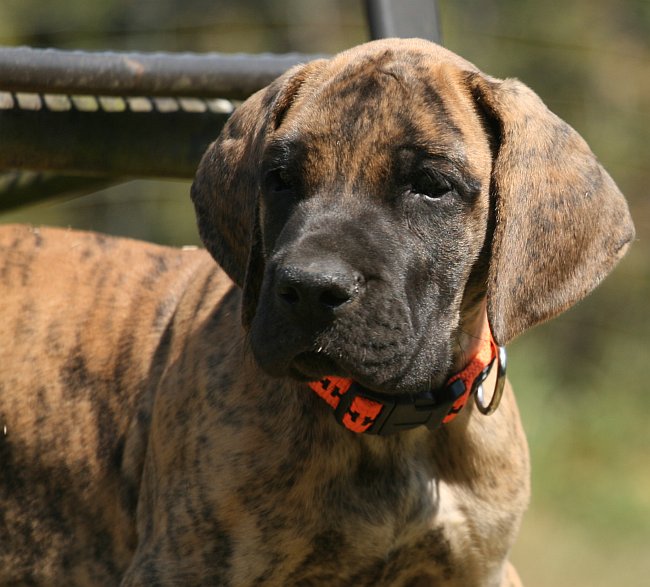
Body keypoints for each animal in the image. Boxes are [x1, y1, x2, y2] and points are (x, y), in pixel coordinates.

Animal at [0, 38, 634, 586]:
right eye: (279, 179)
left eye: (431, 185)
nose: (308, 288)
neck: (395, 431)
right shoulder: (182, 565)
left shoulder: (478, 569)